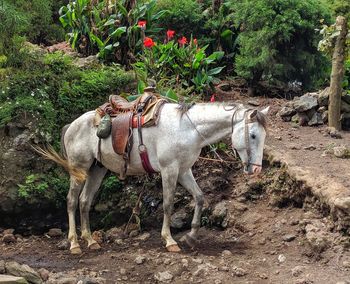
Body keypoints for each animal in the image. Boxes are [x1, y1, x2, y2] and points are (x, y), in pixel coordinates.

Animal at [38, 101, 268, 253]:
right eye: (253, 135)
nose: (256, 170)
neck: (187, 128)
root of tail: (71, 125)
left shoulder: (183, 170)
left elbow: (200, 197)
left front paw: (191, 237)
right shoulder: (169, 170)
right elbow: (167, 204)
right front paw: (169, 240)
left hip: (97, 170)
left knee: (85, 201)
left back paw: (91, 241)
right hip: (79, 169)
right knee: (71, 201)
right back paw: (74, 243)